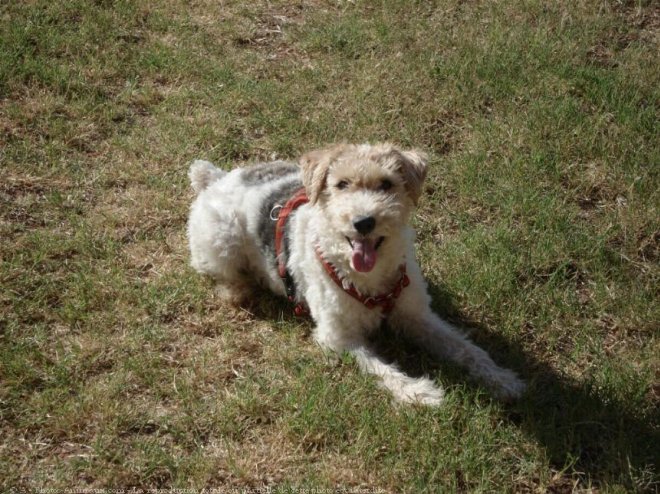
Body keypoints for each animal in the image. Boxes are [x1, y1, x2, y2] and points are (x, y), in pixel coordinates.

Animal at [187, 143, 524, 406]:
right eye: (341, 184)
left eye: (387, 184)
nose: (363, 222)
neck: (369, 279)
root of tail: (216, 178)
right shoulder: (338, 337)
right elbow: (383, 369)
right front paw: (421, 393)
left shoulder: (417, 315)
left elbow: (465, 348)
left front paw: (503, 379)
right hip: (222, 242)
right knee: (222, 274)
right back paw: (239, 291)